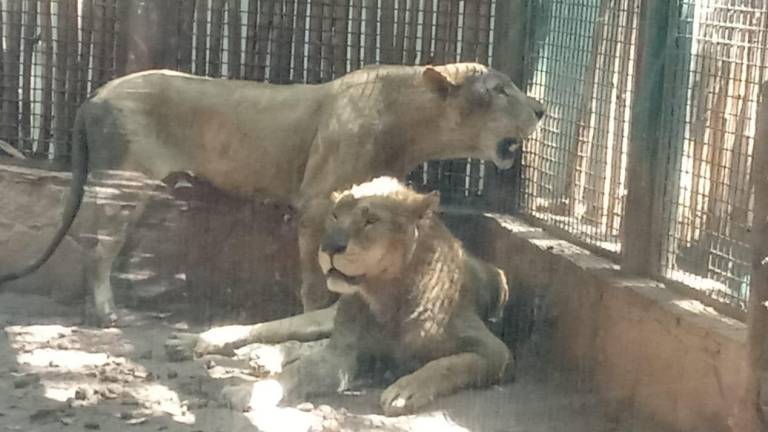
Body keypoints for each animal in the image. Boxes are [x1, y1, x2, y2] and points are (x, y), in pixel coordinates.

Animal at [219, 177, 512, 416]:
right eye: (335, 216)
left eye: (371, 221)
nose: (329, 246)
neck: (387, 297)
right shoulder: (340, 356)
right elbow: (298, 369)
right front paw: (247, 392)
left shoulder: (496, 352)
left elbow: (448, 364)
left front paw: (405, 391)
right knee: (278, 328)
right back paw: (218, 341)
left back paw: (262, 356)